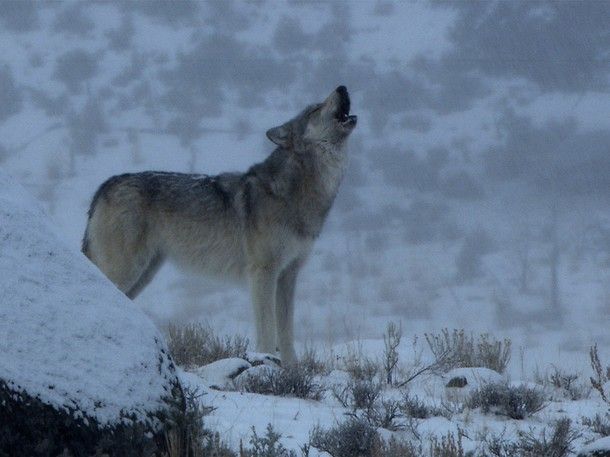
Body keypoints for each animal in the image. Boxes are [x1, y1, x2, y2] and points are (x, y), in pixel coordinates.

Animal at [81, 85, 356, 364]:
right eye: (315, 109)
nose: (342, 87)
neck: (296, 192)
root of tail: (105, 185)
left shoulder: (289, 275)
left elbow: (287, 333)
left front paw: (291, 369)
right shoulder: (263, 272)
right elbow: (268, 330)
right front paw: (267, 362)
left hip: (144, 274)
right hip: (128, 270)